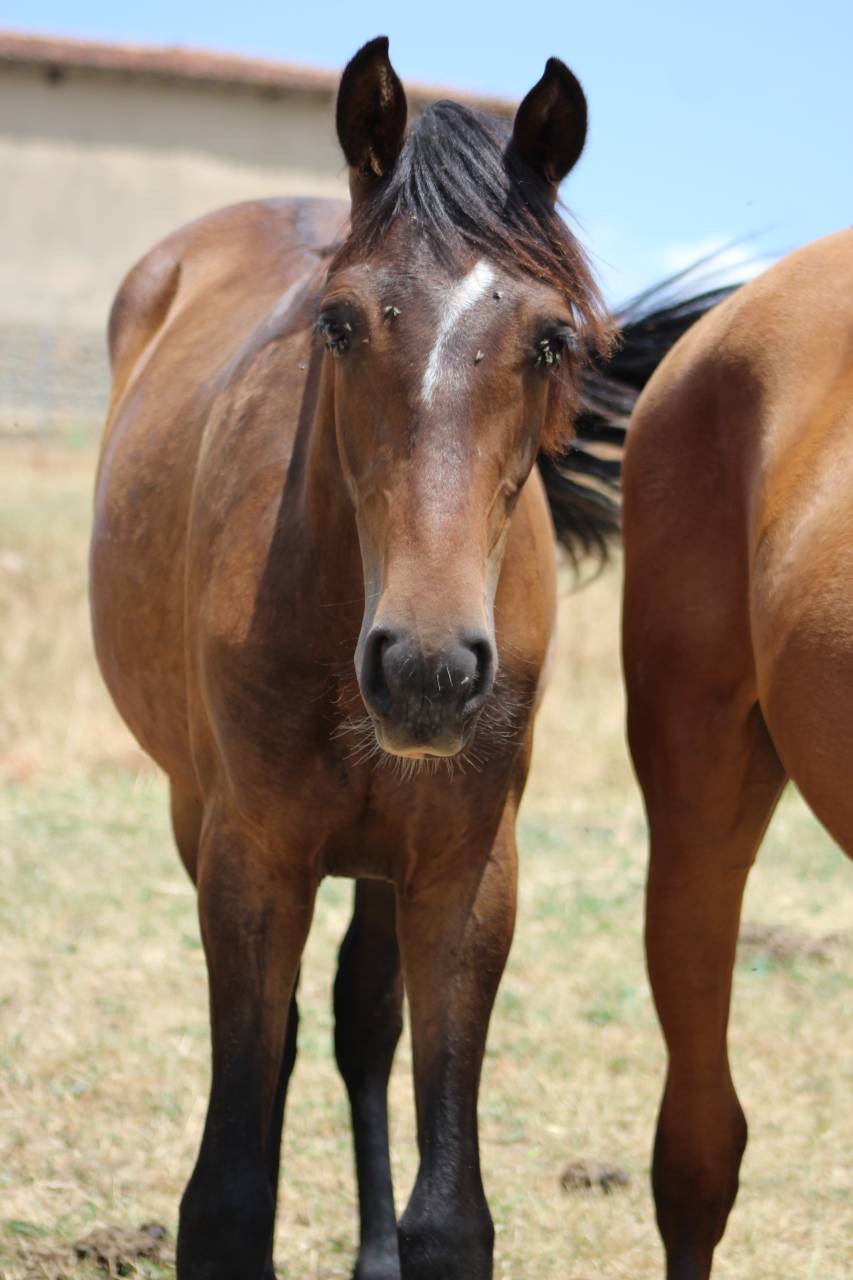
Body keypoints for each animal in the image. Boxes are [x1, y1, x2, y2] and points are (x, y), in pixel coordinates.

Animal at [90, 35, 710, 1280]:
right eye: (336, 323)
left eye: (550, 338)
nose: (427, 670)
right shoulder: (249, 855)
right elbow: (227, 1194)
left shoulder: (464, 869)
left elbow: (447, 1210)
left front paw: (398, 1237)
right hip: (201, 812)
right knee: (289, 1037)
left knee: (362, 1024)